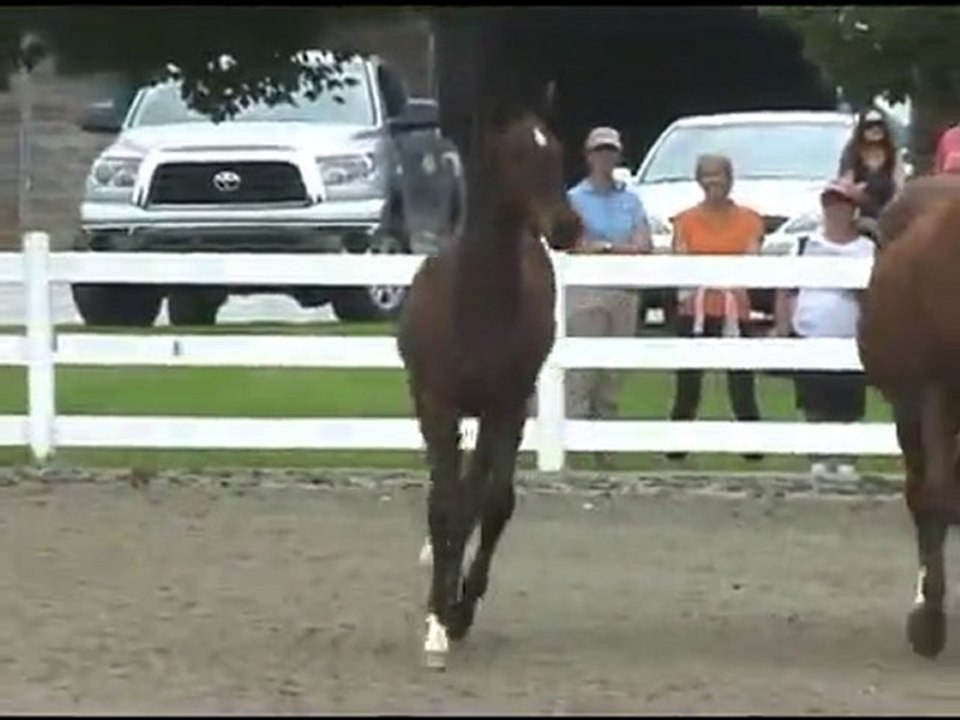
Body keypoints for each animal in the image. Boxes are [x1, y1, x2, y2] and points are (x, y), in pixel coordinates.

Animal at [396, 108, 581, 670]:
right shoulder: (437, 406)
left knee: (476, 495)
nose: (567, 225)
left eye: (557, 150)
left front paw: (458, 611)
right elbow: (444, 505)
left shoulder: (507, 406)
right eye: (517, 154)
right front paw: (436, 623)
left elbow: (495, 503)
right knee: (454, 497)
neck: (475, 304)